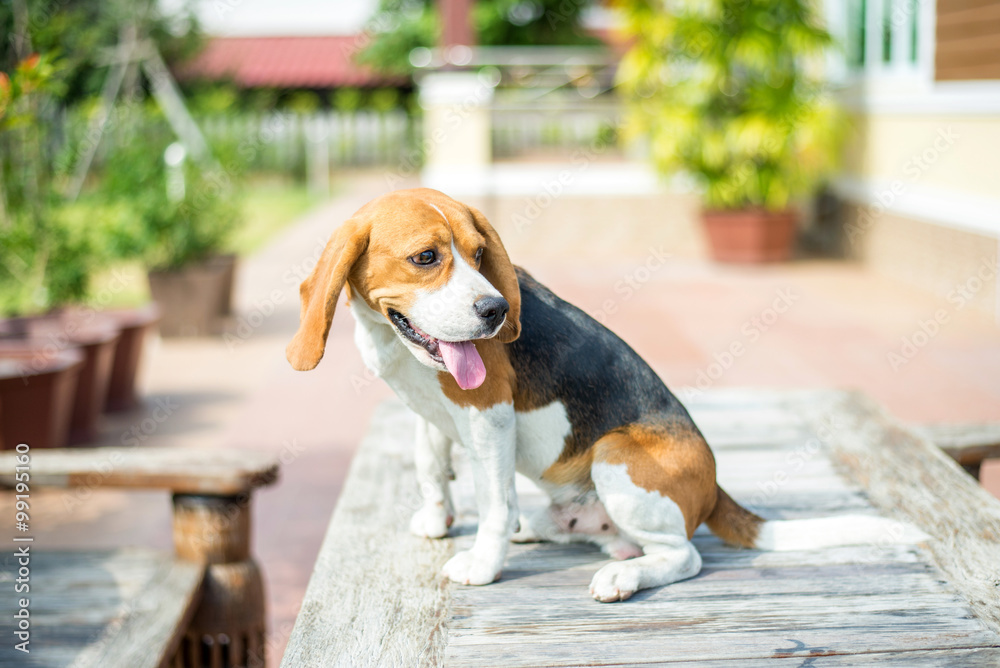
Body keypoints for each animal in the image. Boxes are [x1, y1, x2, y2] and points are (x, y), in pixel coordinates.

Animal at [286, 189, 924, 604]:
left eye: (478, 253)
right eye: (426, 257)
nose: (496, 312)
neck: (394, 342)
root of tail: (715, 486)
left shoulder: (488, 414)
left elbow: (493, 501)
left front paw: (483, 562)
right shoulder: (431, 406)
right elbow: (429, 463)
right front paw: (438, 518)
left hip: (617, 455)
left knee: (684, 555)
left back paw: (625, 576)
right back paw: (553, 531)